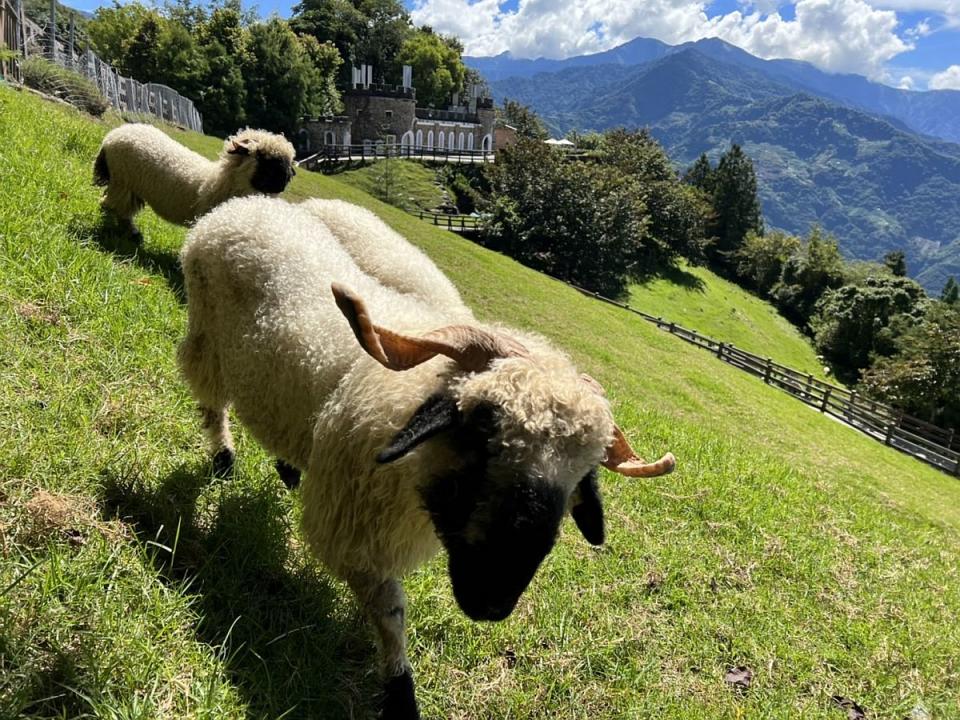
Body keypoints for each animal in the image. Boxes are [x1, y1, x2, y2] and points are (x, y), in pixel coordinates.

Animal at [94, 122, 296, 238]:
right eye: (265, 159)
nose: (283, 183)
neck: (219, 181)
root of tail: (113, 135)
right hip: (123, 181)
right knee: (119, 206)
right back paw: (130, 232)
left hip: (126, 184)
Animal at [174, 194, 676, 716]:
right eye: (482, 426)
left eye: (582, 474)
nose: (493, 601)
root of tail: (245, 205)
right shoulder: (355, 531)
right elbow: (390, 613)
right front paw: (400, 691)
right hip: (207, 334)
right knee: (211, 400)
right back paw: (222, 459)